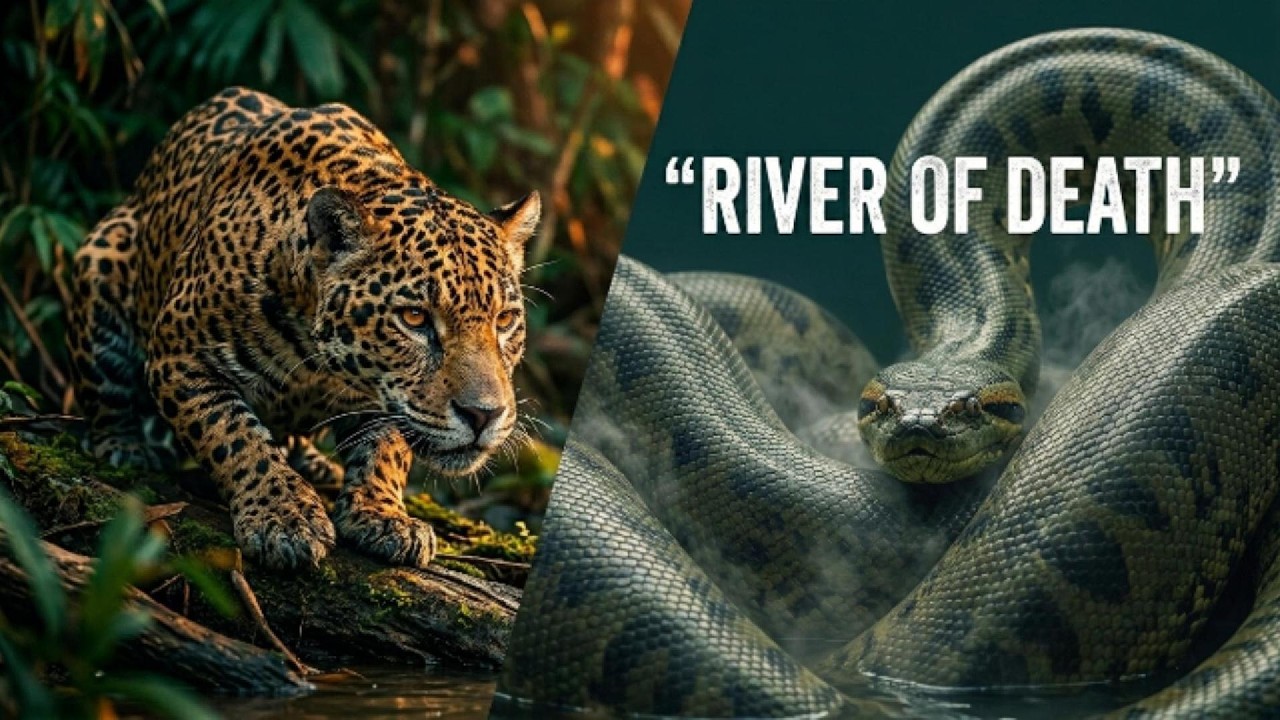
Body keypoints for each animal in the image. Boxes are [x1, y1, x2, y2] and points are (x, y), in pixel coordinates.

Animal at [68, 87, 541, 570]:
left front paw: (384, 515)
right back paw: (125, 445)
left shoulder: (384, 397)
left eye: (504, 320)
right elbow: (234, 434)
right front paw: (283, 516)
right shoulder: (178, 355)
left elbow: (387, 447)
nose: (484, 415)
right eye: (414, 319)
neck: (318, 363)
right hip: (101, 257)